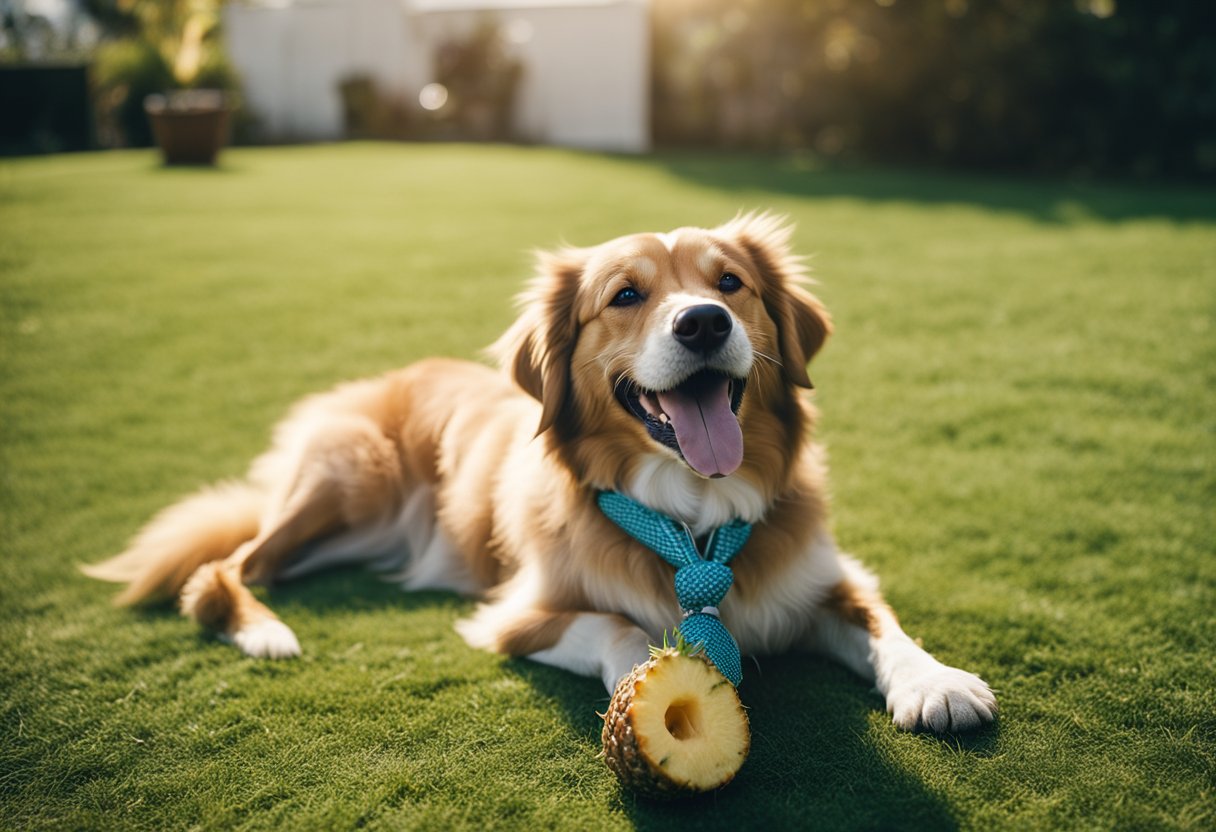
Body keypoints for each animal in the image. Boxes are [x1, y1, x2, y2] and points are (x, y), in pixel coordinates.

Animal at [85, 214, 997, 734]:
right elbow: (622, 626)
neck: (691, 515)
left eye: (731, 283)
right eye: (625, 296)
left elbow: (883, 622)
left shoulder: (825, 574)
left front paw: (937, 682)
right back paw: (262, 629)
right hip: (345, 482)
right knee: (218, 570)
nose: (704, 323)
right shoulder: (519, 614)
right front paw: (649, 670)